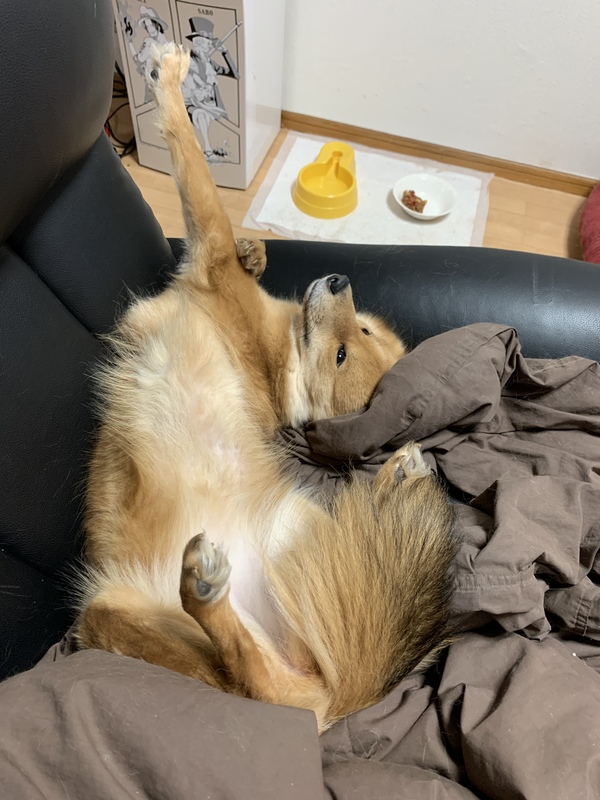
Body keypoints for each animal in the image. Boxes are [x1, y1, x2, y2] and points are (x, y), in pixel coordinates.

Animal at [75, 43, 456, 733]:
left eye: (342, 352)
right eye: (356, 332)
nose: (335, 279)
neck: (279, 362)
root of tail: (339, 712)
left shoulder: (212, 259)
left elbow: (196, 171)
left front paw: (170, 80)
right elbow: (241, 243)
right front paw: (261, 251)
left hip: (128, 615)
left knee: (253, 684)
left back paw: (203, 589)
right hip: (277, 550)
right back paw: (397, 478)